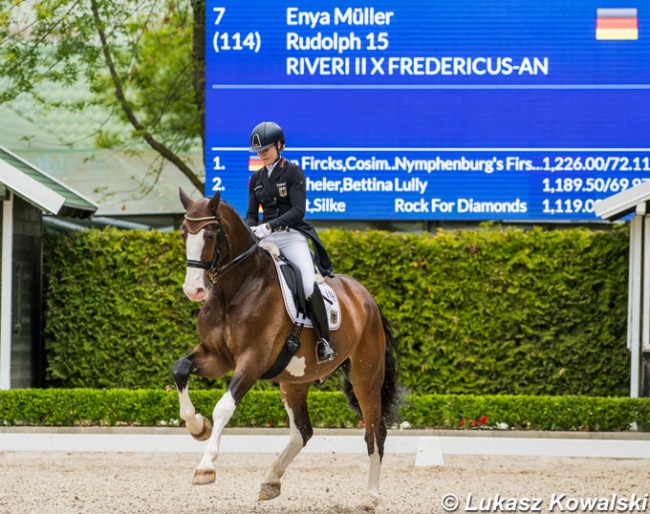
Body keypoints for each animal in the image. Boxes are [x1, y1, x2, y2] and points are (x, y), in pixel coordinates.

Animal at [170, 188, 398, 508]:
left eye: (211, 234)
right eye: (183, 234)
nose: (194, 290)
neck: (236, 289)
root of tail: (367, 298)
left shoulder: (252, 361)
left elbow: (223, 407)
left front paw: (206, 466)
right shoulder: (216, 357)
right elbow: (179, 370)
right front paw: (197, 427)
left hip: (366, 377)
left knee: (375, 433)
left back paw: (370, 497)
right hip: (295, 380)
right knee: (303, 431)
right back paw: (271, 480)